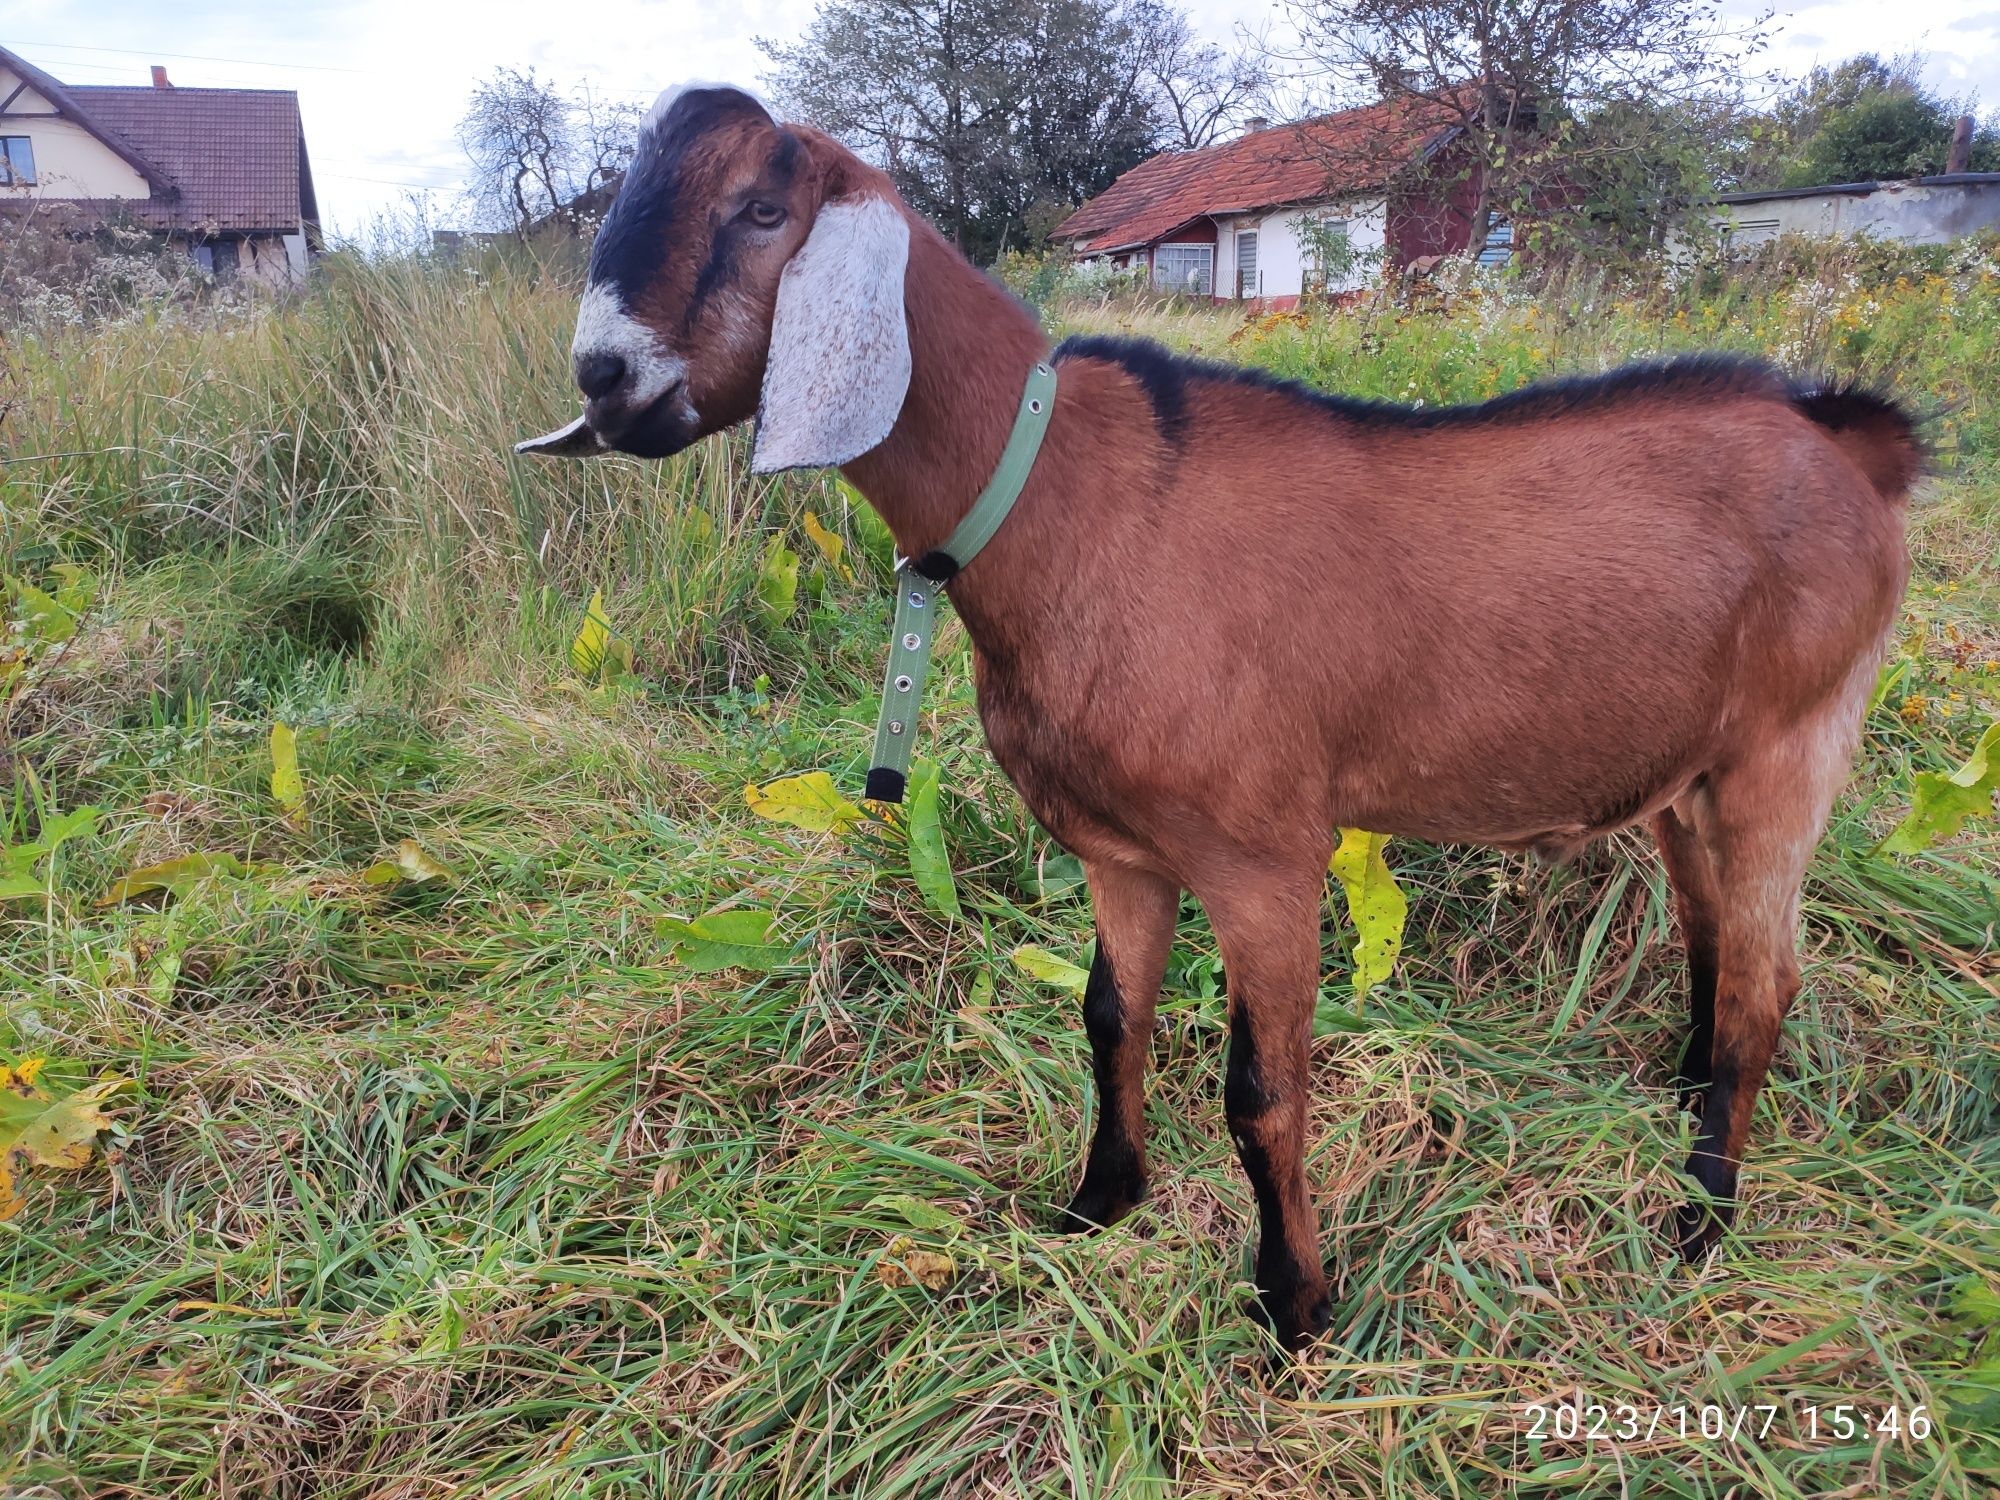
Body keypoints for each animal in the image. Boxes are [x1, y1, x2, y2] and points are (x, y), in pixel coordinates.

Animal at [520, 85, 1920, 1360]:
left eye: (760, 209)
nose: (604, 377)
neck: (1069, 500)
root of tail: (1852, 442)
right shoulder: (1120, 849)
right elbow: (1107, 1019)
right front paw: (1098, 1202)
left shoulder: (1263, 856)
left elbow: (1260, 1091)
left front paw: (1293, 1306)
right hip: (1687, 770)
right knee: (1711, 940)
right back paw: (1683, 1106)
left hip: (1790, 744)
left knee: (1767, 982)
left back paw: (1700, 1218)